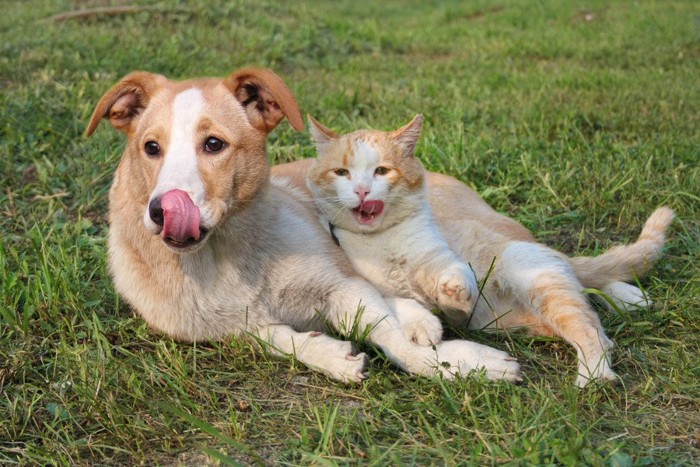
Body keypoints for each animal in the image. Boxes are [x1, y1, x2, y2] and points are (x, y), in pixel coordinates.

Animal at [85, 68, 524, 384]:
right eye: (150, 148)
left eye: (214, 144)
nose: (162, 211)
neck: (226, 258)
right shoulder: (236, 329)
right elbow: (278, 338)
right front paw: (328, 354)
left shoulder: (341, 284)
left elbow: (394, 339)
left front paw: (463, 363)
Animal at [298, 115, 676, 386]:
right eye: (342, 173)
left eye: (381, 171)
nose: (362, 191)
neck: (384, 240)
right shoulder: (362, 285)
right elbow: (401, 303)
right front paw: (424, 325)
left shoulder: (443, 263)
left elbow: (453, 276)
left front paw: (453, 288)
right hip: (519, 318)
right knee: (590, 310)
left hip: (535, 279)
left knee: (587, 321)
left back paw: (599, 367)